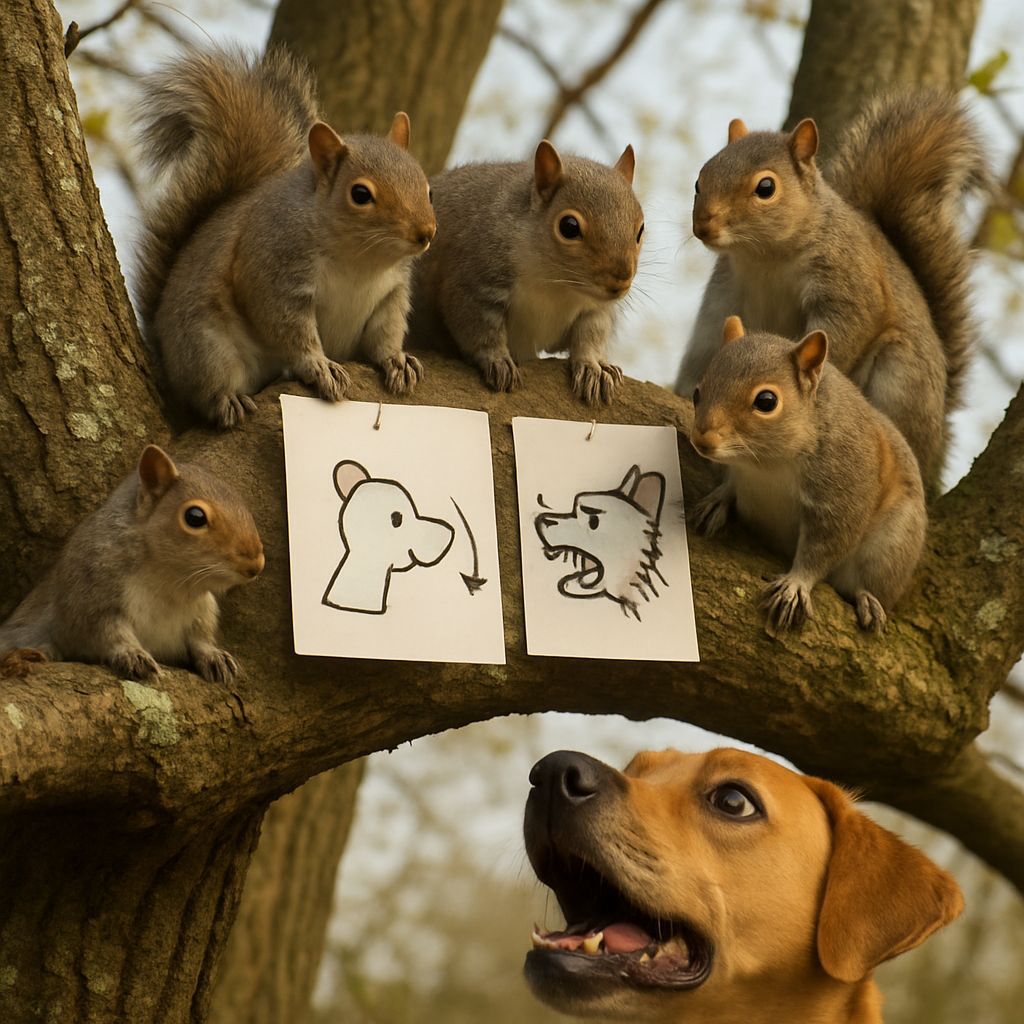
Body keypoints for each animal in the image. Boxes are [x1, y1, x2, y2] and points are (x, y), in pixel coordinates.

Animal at [0, 445, 264, 682]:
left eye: (243, 506)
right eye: (195, 517)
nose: (256, 565)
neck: (171, 582)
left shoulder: (201, 611)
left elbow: (200, 638)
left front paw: (214, 655)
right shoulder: (89, 595)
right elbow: (104, 634)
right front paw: (133, 654)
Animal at [135, 46, 435, 429]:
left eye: (427, 188)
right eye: (360, 194)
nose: (426, 233)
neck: (359, 260)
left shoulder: (391, 292)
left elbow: (386, 331)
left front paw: (396, 359)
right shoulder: (275, 273)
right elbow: (290, 331)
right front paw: (320, 366)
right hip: (205, 345)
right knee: (208, 386)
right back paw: (226, 399)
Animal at [408, 140, 644, 403]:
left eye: (640, 229)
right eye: (569, 227)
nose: (620, 282)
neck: (557, 281)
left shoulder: (596, 308)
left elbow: (591, 333)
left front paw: (593, 365)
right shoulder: (476, 281)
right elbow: (479, 329)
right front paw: (497, 360)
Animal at [675, 91, 988, 492]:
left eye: (766, 188)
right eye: (699, 182)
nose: (703, 225)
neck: (765, 255)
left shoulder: (846, 283)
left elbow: (842, 335)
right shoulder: (726, 290)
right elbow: (710, 339)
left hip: (900, 378)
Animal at [689, 316, 926, 634]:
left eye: (766, 401)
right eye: (697, 393)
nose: (702, 440)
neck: (766, 465)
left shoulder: (840, 493)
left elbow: (824, 547)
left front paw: (795, 585)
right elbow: (730, 485)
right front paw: (717, 500)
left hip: (892, 546)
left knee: (865, 582)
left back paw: (868, 599)